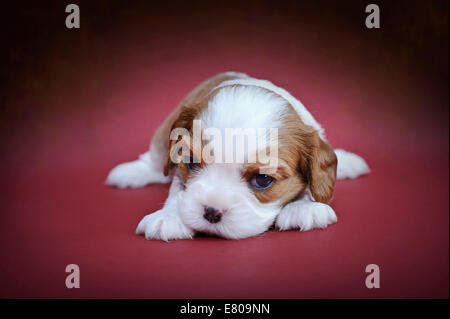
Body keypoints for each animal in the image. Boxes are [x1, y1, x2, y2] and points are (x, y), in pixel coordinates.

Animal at [106, 72, 370, 241]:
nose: (211, 212)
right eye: (191, 163)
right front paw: (169, 215)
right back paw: (131, 173)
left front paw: (304, 206)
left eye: (263, 180)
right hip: (163, 136)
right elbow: (177, 188)